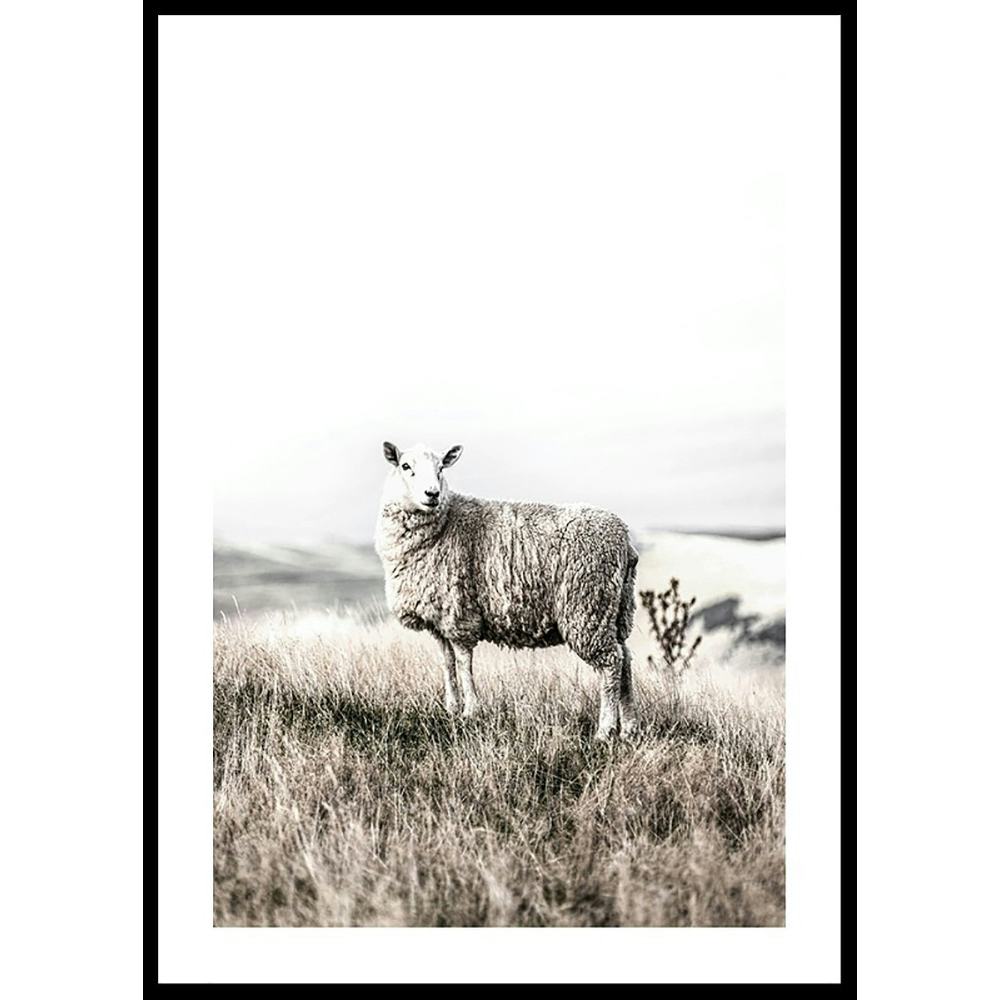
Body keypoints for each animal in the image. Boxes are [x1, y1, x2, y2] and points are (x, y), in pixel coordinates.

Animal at [374, 441, 639, 739]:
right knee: (625, 660)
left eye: (441, 467)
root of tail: (624, 539)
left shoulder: (460, 612)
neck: (445, 524)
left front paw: (470, 711)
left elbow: (464, 663)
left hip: (587, 606)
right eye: (406, 466)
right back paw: (629, 728)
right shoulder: (439, 618)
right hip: (615, 610)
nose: (432, 494)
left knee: (611, 663)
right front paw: (451, 708)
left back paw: (605, 730)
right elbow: (447, 662)